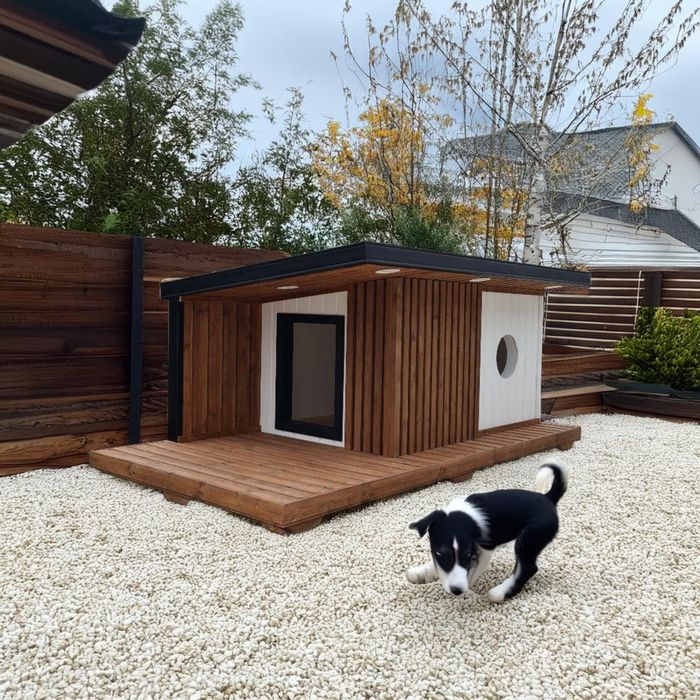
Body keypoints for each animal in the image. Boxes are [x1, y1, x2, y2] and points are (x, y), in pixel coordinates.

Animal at [404, 462, 568, 604]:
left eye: (467, 555)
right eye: (440, 553)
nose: (457, 590)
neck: (465, 515)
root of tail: (548, 498)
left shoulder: (485, 550)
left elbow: (473, 572)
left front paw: (467, 588)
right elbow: (437, 565)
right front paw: (421, 573)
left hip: (529, 539)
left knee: (527, 568)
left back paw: (500, 593)